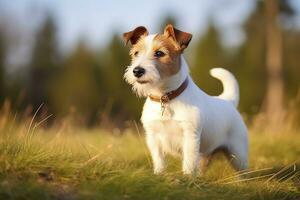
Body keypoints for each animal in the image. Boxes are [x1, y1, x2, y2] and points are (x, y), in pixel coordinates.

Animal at [122, 24, 248, 175]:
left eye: (159, 53)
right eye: (136, 53)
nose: (137, 71)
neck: (165, 97)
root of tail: (228, 101)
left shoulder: (190, 137)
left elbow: (188, 163)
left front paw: (186, 178)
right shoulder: (153, 137)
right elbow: (159, 161)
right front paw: (159, 175)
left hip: (238, 154)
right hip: (205, 155)